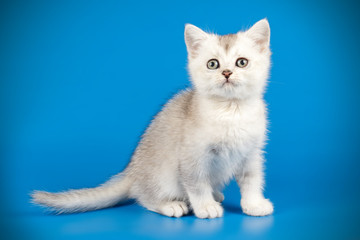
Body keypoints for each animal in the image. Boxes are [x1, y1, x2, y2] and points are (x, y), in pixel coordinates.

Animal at [31, 18, 272, 218]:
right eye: (212, 64)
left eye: (241, 62)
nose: (227, 73)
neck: (231, 111)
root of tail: (132, 171)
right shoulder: (192, 157)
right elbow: (197, 184)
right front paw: (205, 207)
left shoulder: (252, 154)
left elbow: (252, 181)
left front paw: (254, 205)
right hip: (162, 175)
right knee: (145, 198)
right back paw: (172, 205)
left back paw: (217, 194)